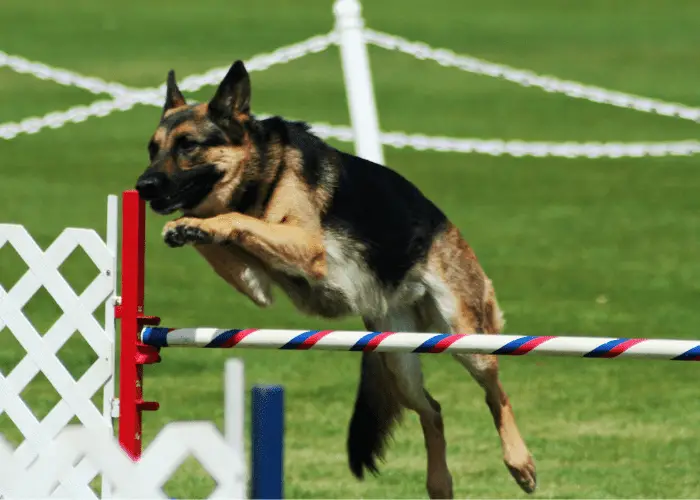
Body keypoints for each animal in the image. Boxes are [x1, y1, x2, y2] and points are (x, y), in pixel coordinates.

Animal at [135, 60, 536, 498]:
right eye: (153, 149)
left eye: (188, 145)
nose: (142, 187)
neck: (263, 174)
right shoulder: (254, 281)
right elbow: (220, 230)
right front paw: (186, 228)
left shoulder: (305, 246)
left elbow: (233, 219)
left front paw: (193, 223)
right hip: (399, 359)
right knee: (433, 410)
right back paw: (439, 482)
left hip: (466, 337)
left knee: (496, 393)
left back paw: (519, 462)